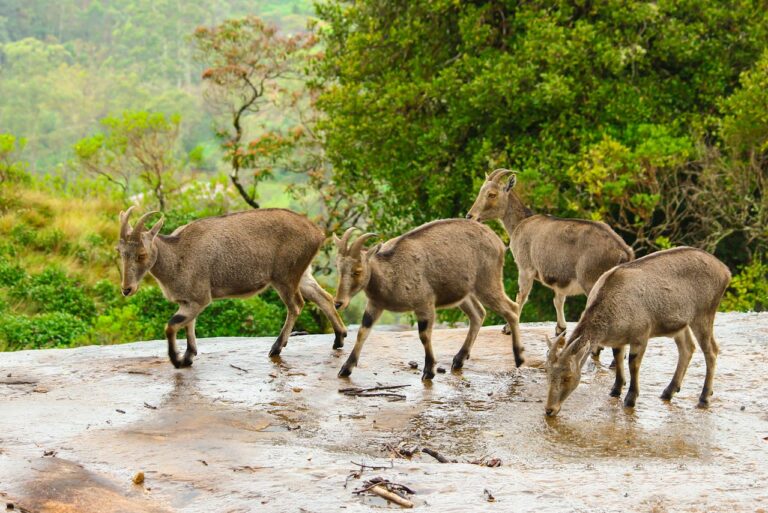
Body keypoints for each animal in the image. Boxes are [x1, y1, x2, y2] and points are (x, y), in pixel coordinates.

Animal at [117, 207, 346, 367]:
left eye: (141, 254)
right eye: (120, 252)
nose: (127, 289)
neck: (177, 255)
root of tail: (318, 233)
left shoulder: (200, 297)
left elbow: (172, 325)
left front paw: (177, 359)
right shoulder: (189, 301)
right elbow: (188, 324)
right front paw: (189, 355)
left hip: (285, 276)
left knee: (297, 305)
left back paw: (276, 348)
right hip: (302, 274)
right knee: (323, 297)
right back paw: (339, 338)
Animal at [332, 220, 524, 380]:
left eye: (357, 270)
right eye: (339, 268)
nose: (338, 303)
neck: (390, 273)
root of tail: (498, 242)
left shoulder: (424, 304)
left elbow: (424, 335)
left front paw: (429, 370)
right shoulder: (375, 304)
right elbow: (363, 331)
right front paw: (346, 368)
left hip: (487, 283)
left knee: (511, 309)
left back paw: (519, 358)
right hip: (464, 293)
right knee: (478, 314)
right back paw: (459, 359)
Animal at [466, 169, 634, 337]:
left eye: (492, 194)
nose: (470, 216)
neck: (520, 223)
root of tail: (623, 251)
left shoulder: (525, 268)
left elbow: (521, 297)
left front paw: (507, 328)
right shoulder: (560, 279)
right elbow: (558, 299)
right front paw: (560, 328)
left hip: (591, 281)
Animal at [544, 247, 731, 417]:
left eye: (568, 377)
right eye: (548, 373)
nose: (550, 409)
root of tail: (725, 272)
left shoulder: (641, 334)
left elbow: (633, 363)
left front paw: (630, 399)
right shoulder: (618, 338)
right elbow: (618, 357)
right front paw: (616, 389)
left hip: (704, 314)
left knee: (711, 351)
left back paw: (704, 398)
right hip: (680, 324)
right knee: (687, 348)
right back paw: (668, 391)